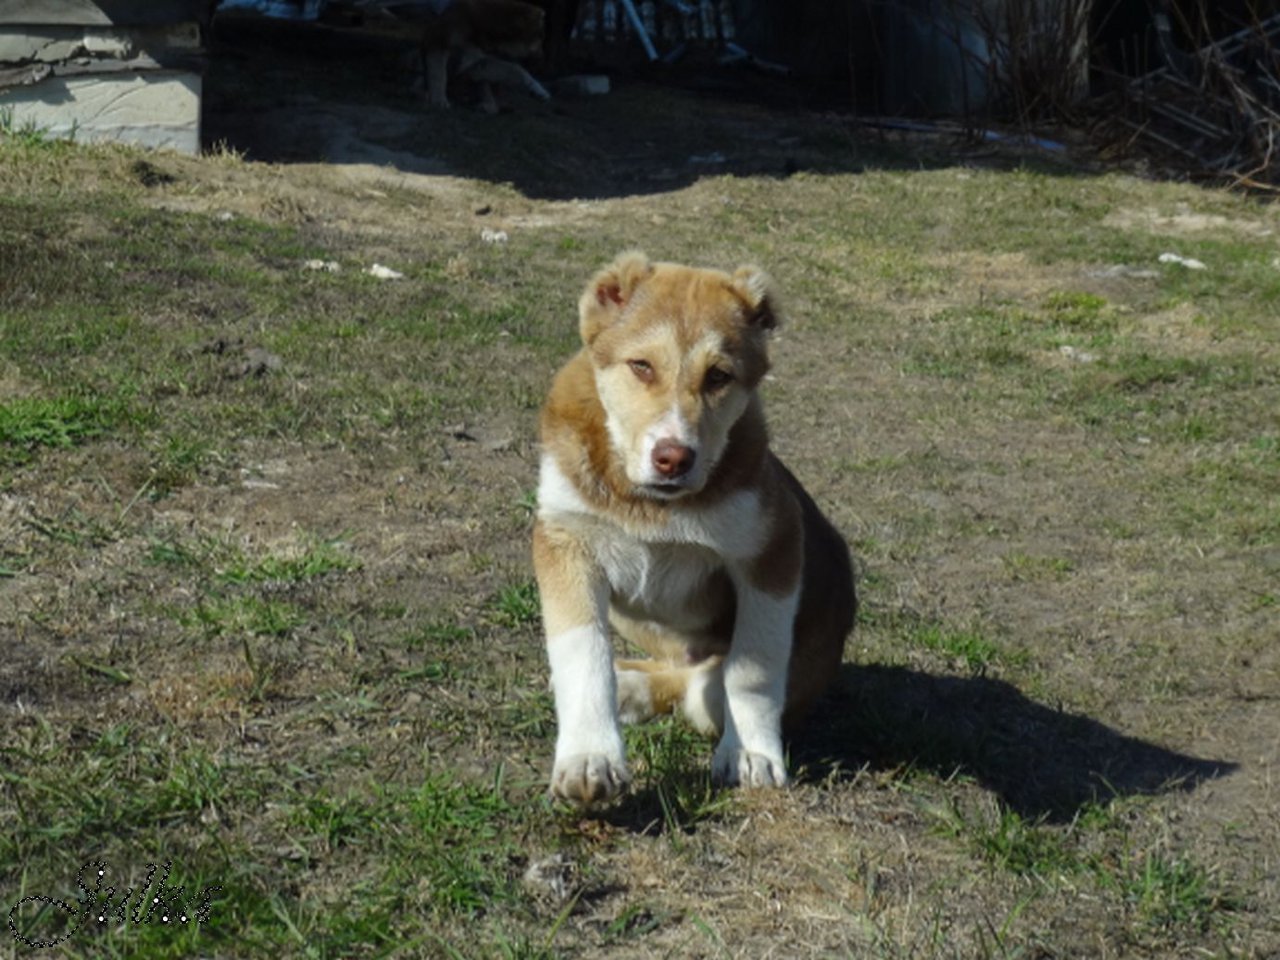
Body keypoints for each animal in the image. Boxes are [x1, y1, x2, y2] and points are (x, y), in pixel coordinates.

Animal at [535, 252, 855, 808]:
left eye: (719, 376)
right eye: (641, 366)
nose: (673, 458)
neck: (649, 503)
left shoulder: (772, 550)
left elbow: (752, 666)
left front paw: (751, 754)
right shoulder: (564, 540)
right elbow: (581, 651)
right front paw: (589, 759)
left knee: (702, 688)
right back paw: (628, 683)